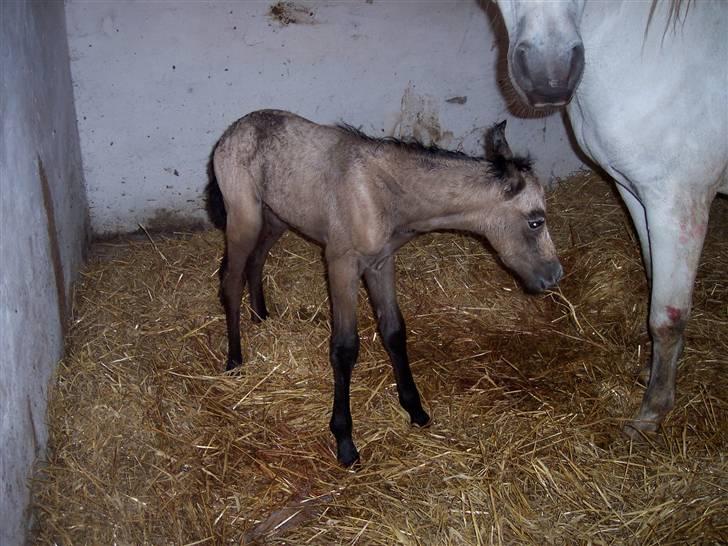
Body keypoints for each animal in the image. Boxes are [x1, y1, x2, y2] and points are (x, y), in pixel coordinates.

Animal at [208, 109, 560, 464]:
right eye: (536, 221)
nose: (554, 275)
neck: (385, 196)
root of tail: (232, 130)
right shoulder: (341, 265)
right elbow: (344, 348)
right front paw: (345, 440)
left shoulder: (380, 263)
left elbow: (393, 331)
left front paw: (415, 409)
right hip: (244, 219)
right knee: (231, 281)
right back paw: (234, 361)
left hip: (277, 217)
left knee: (256, 261)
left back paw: (260, 316)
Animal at [494, 0, 728, 434]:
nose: (549, 77)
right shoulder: (635, 192)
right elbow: (654, 280)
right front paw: (652, 372)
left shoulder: (677, 202)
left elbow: (668, 315)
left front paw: (651, 413)